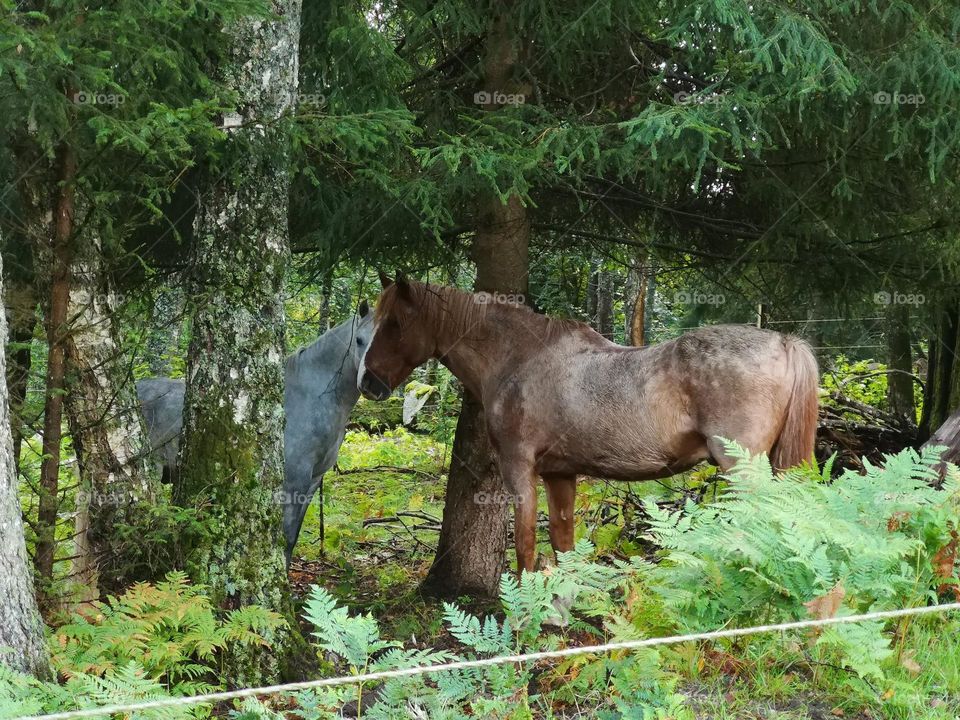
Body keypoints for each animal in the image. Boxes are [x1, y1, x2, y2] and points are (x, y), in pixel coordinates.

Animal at [137, 301, 374, 563]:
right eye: (359, 340)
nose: (372, 382)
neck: (311, 397)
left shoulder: (313, 480)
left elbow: (293, 537)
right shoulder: (293, 480)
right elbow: (285, 536)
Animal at [358, 274, 819, 573]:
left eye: (394, 323)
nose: (367, 383)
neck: (520, 358)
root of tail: (783, 342)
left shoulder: (519, 470)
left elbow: (526, 546)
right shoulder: (560, 475)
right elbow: (563, 545)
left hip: (743, 468)